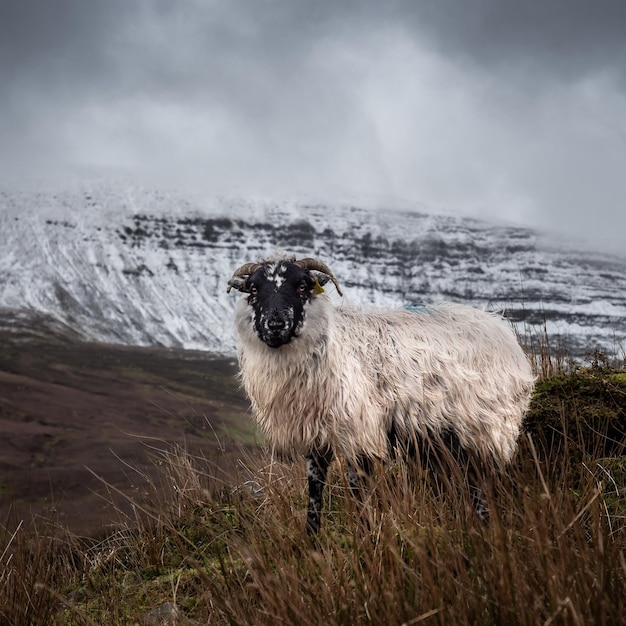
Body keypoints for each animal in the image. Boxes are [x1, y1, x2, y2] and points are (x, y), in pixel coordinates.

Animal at [225, 252, 532, 532]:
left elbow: (358, 494)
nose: (275, 325)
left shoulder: (359, 433)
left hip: (490, 428)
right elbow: (314, 492)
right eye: (253, 289)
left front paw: (365, 540)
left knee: (490, 481)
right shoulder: (317, 438)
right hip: (443, 440)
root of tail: (503, 332)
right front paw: (312, 542)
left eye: (302, 286)